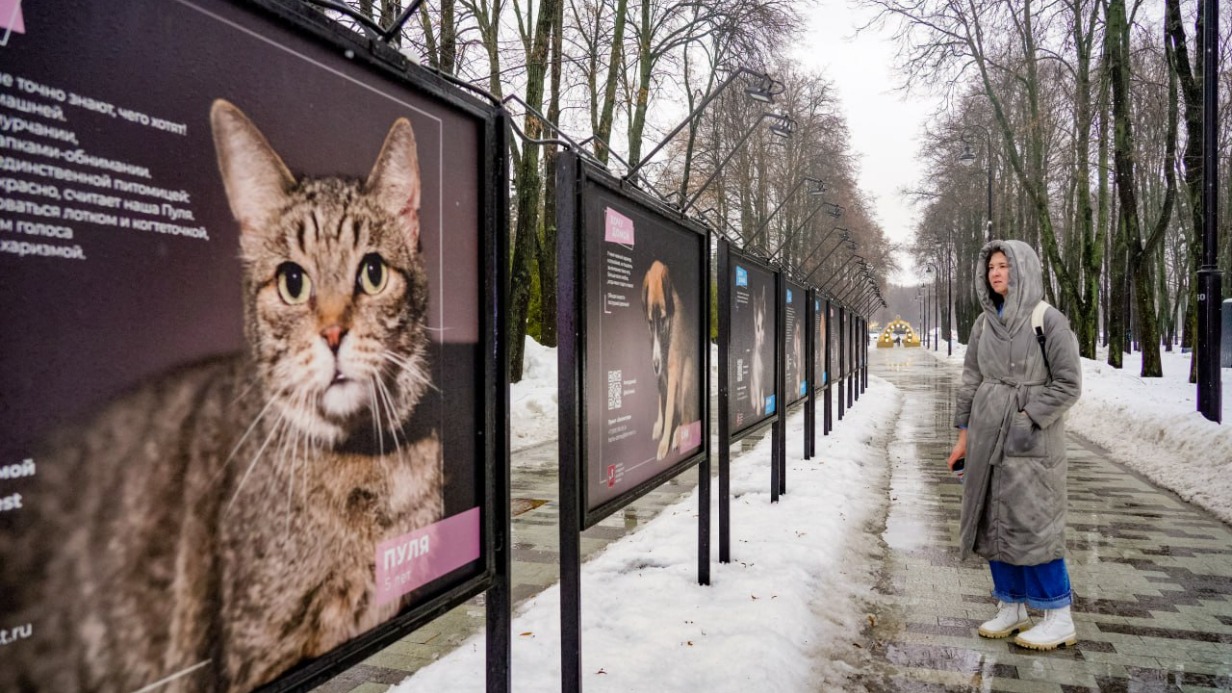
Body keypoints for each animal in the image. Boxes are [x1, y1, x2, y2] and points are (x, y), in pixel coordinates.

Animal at [640, 258, 699, 458]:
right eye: (650, 321)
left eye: (664, 318)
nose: (656, 365)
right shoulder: (660, 372)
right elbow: (662, 401)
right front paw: (659, 425)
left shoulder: (673, 370)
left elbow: (669, 409)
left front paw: (665, 442)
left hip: (688, 372)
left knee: (687, 417)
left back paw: (680, 434)